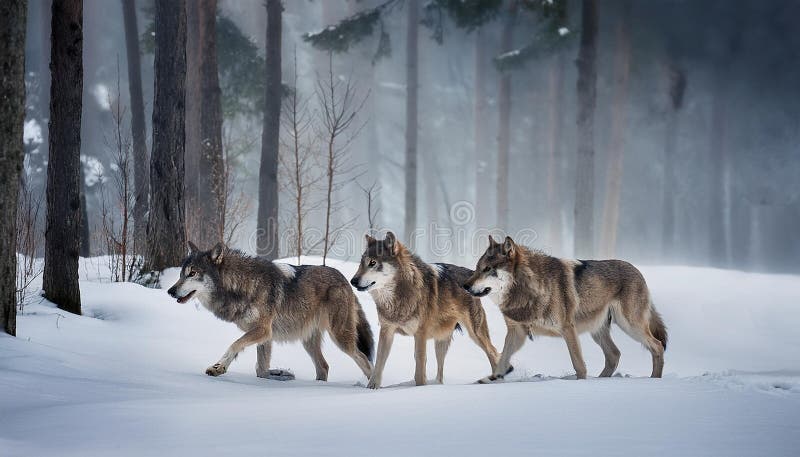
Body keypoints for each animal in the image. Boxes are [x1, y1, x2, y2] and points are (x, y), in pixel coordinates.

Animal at [167, 242, 374, 383]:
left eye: (192, 273)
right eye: (181, 274)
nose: (170, 291)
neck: (241, 284)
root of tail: (346, 281)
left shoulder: (263, 330)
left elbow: (234, 345)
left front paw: (218, 367)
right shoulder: (266, 337)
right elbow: (261, 369)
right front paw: (277, 375)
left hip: (340, 338)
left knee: (365, 360)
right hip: (308, 342)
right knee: (324, 366)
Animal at [350, 232, 502, 389]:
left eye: (372, 263)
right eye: (361, 263)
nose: (352, 281)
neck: (400, 296)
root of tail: (470, 274)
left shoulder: (420, 334)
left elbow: (419, 369)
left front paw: (420, 388)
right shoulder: (387, 331)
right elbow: (379, 363)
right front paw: (372, 388)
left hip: (475, 334)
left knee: (494, 352)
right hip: (441, 341)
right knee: (440, 376)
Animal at [464, 236, 667, 381]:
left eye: (487, 269)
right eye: (477, 268)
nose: (464, 285)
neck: (528, 289)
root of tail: (637, 271)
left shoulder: (568, 328)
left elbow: (579, 365)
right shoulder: (517, 333)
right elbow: (501, 362)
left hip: (630, 325)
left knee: (657, 346)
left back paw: (654, 380)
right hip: (598, 331)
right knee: (614, 354)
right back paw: (601, 380)